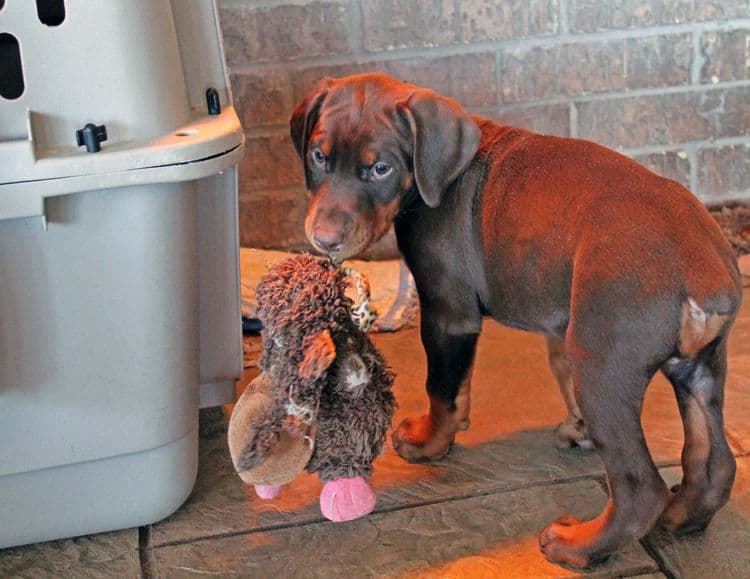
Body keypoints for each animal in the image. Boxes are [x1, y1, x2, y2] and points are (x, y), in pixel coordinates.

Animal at [290, 72, 744, 572]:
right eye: (318, 156)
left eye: (381, 169)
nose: (323, 239)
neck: (435, 177)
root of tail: (706, 275)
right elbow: (483, 378)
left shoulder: (448, 311)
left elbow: (441, 388)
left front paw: (429, 443)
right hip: (699, 370)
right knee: (714, 463)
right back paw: (682, 517)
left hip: (602, 367)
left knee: (639, 489)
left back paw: (577, 546)